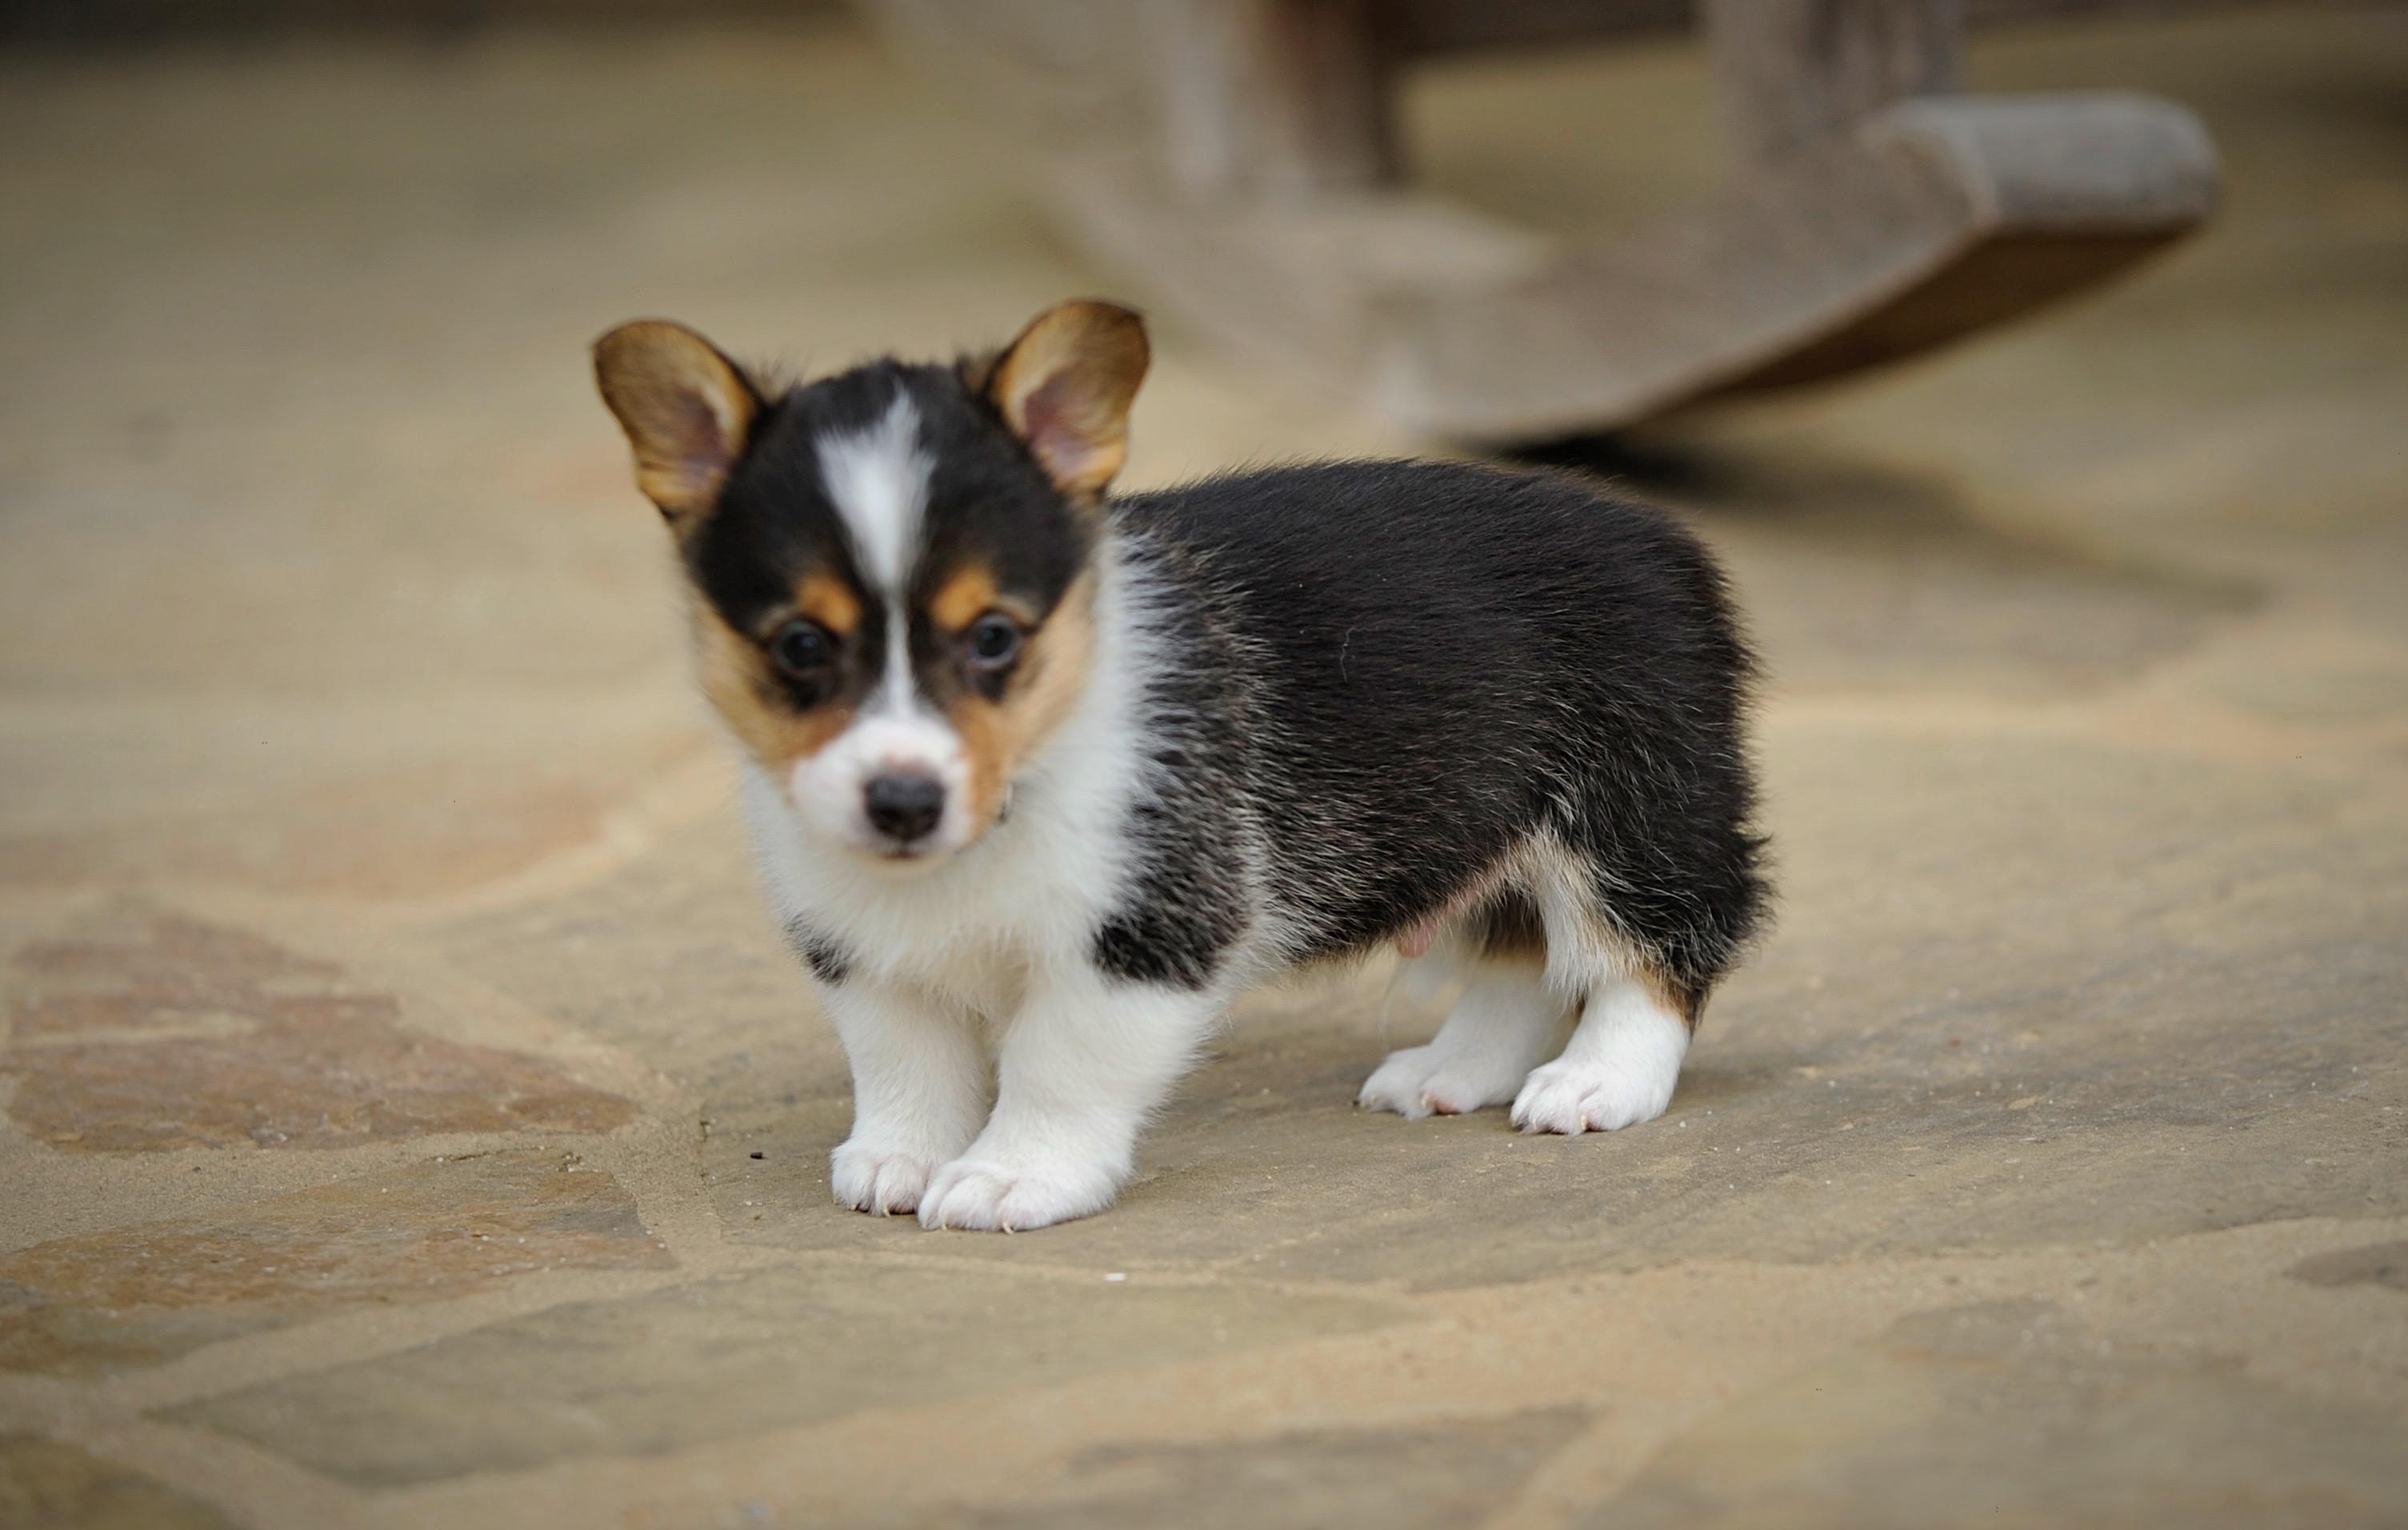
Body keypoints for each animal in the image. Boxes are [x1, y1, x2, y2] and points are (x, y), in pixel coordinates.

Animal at [592, 299, 1766, 1231]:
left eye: (993, 637)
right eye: (799, 646)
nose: (902, 803)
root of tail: (1665, 539)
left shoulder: (1143, 930)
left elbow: (1054, 1063)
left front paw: (1012, 1176)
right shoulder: (861, 941)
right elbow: (902, 1053)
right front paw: (900, 1157)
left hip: (1627, 810)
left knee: (1653, 949)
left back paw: (1597, 1082)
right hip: (1481, 815)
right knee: (1515, 950)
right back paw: (1454, 1070)